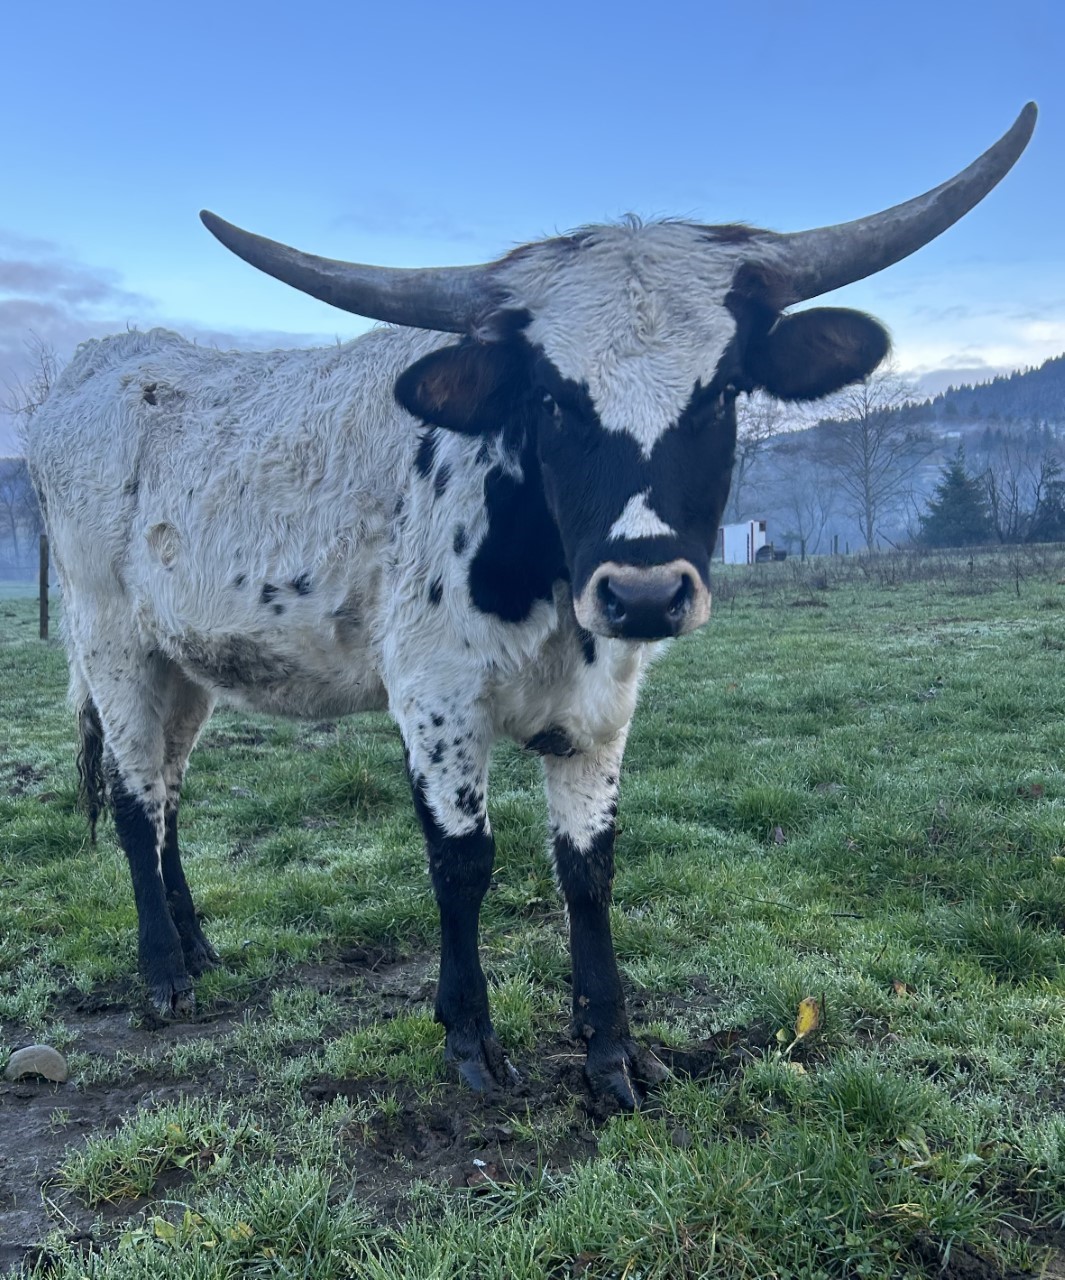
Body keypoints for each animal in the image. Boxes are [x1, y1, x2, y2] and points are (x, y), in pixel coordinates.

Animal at [27, 106, 1035, 1108]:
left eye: (721, 390)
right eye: (552, 398)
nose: (641, 593)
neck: (544, 583)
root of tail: (97, 366)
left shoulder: (603, 707)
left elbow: (588, 867)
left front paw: (610, 1048)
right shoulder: (435, 698)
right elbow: (463, 861)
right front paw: (470, 1038)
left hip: (185, 663)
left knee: (169, 790)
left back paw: (198, 946)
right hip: (112, 642)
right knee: (134, 798)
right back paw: (164, 974)